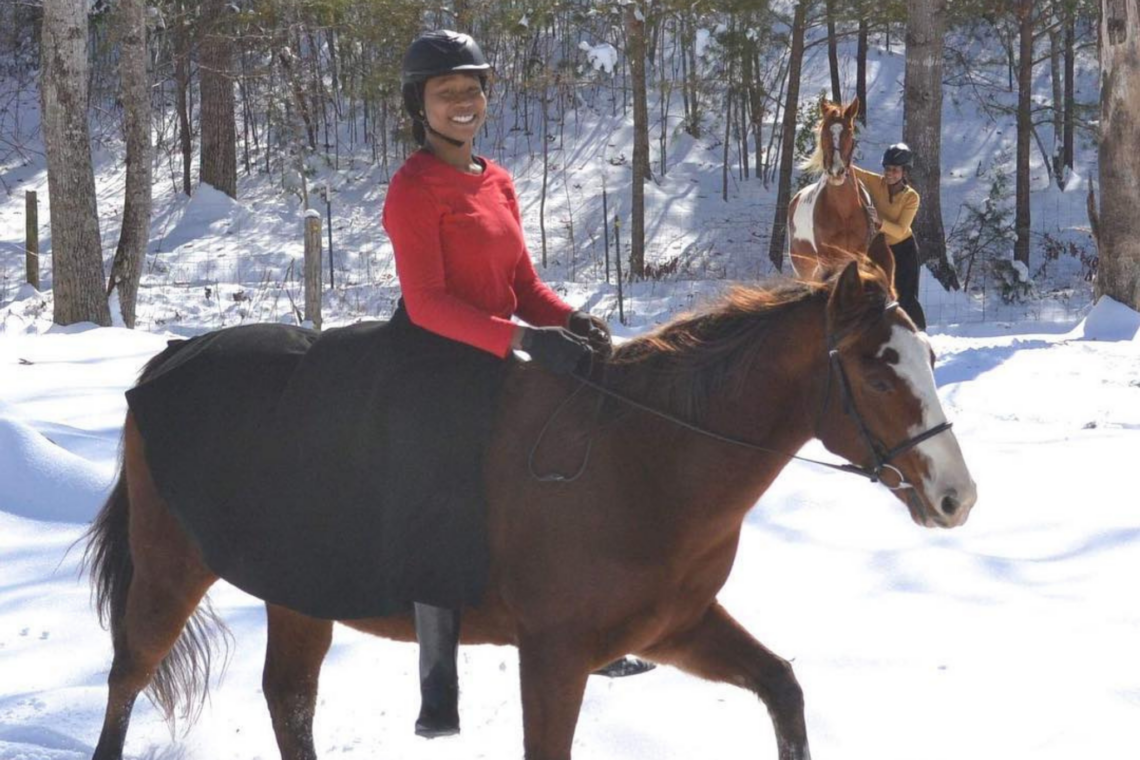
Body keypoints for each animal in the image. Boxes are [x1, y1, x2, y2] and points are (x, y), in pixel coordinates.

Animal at [84, 244, 976, 760]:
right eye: (876, 371)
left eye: (927, 357)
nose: (956, 496)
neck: (641, 458)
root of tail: (167, 362)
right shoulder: (554, 656)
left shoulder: (675, 628)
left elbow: (783, 691)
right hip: (169, 571)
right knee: (128, 680)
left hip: (297, 592)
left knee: (289, 702)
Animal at [788, 96, 876, 280]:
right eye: (824, 133)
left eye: (850, 132)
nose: (836, 171)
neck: (844, 212)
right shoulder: (827, 260)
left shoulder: (860, 255)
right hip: (805, 269)